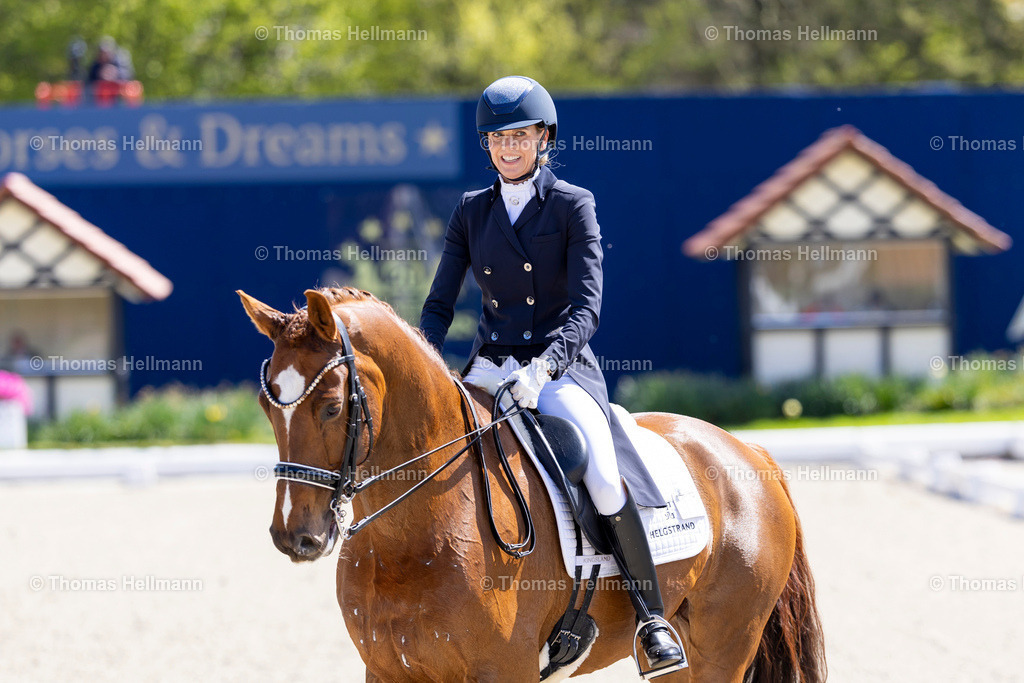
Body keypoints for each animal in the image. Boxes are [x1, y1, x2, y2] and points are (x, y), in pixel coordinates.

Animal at [238, 285, 826, 682]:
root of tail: (748, 451)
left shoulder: (505, 669)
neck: (411, 537)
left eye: (332, 406)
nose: (295, 537)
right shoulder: (389, 670)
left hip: (721, 649)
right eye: (267, 406)